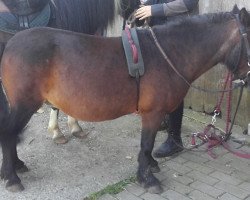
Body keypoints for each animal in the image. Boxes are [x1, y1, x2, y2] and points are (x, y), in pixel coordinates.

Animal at [0, 5, 250, 194]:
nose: (246, 79)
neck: (168, 54)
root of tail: (11, 43)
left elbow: (148, 146)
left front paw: (151, 167)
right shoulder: (153, 113)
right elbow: (146, 145)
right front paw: (147, 178)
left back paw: (16, 166)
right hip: (24, 105)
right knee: (9, 133)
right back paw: (12, 177)